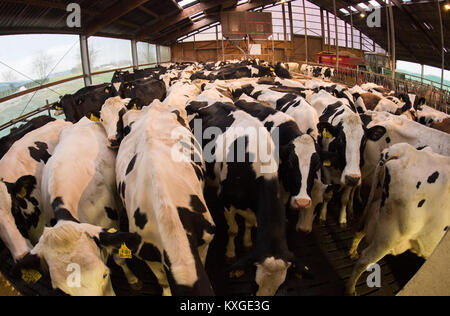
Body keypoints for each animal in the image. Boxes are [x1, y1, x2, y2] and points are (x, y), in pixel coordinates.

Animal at [185, 100, 308, 296]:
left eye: (279, 286)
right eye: (254, 283)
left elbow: (250, 225)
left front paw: (248, 241)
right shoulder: (226, 201)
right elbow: (233, 229)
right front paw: (230, 253)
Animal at [346, 144, 448, 296]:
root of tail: (403, 150)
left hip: (375, 206)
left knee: (360, 230)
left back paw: (352, 252)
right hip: (391, 234)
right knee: (365, 259)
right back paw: (350, 289)